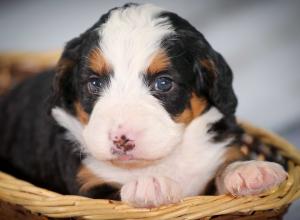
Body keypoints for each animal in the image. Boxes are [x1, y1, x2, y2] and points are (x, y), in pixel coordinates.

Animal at [0, 3, 288, 208]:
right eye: (94, 83)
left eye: (163, 83)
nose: (121, 139)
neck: (160, 161)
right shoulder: (87, 187)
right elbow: (114, 194)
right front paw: (149, 185)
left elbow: (222, 170)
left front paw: (249, 170)